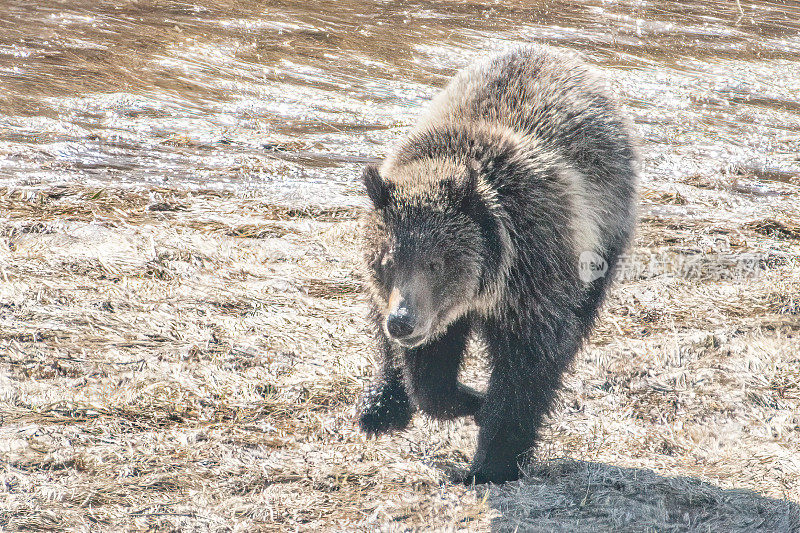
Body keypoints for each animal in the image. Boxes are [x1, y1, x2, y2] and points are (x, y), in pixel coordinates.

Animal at [356, 45, 636, 484]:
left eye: (436, 263)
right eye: (387, 259)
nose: (403, 321)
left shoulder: (534, 273)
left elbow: (528, 367)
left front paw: (493, 460)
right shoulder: (426, 307)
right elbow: (428, 375)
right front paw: (469, 400)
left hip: (604, 240)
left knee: (581, 317)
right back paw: (379, 406)